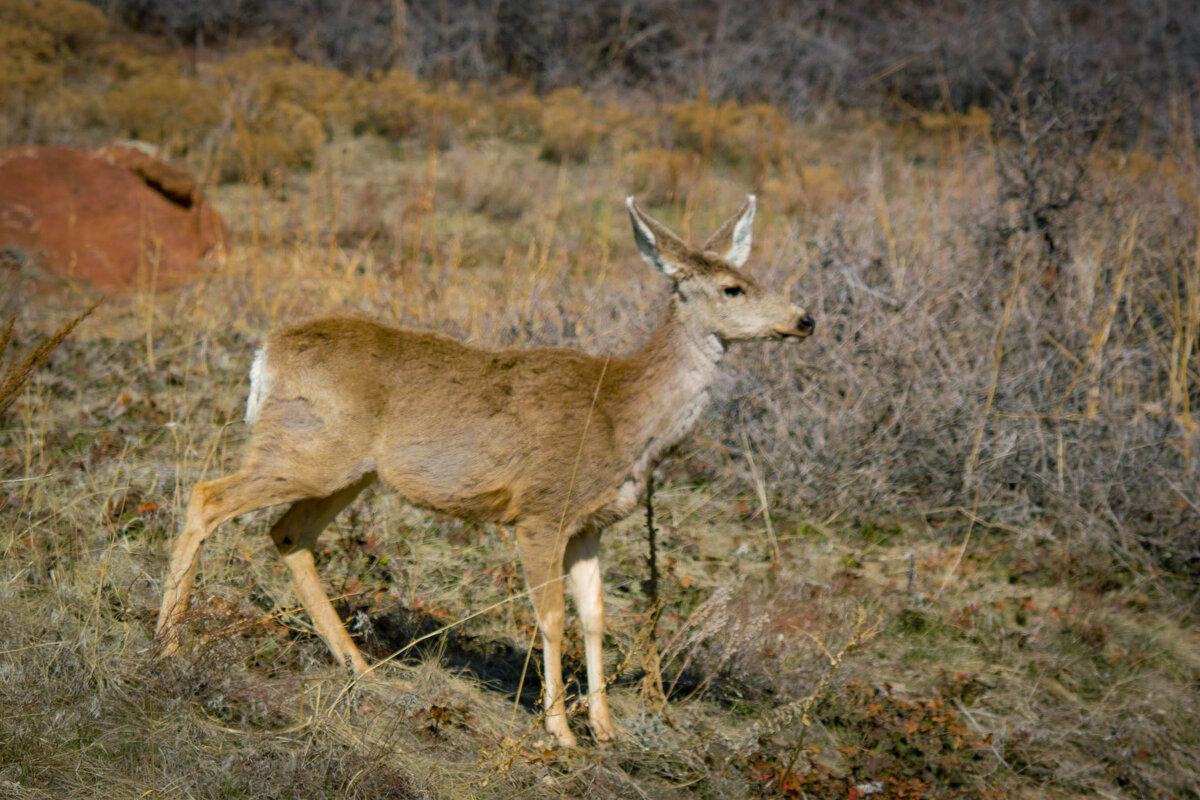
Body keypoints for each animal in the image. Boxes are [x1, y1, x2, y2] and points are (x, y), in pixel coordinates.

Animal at [155, 194, 814, 747]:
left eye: (756, 278)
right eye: (733, 288)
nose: (805, 319)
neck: (623, 415)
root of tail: (266, 353)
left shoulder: (590, 524)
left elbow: (596, 617)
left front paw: (607, 729)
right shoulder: (541, 511)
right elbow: (551, 618)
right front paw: (560, 731)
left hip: (348, 469)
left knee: (289, 533)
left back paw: (360, 667)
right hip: (310, 449)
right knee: (207, 496)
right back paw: (167, 644)